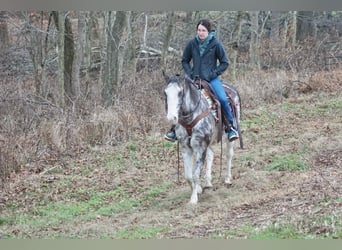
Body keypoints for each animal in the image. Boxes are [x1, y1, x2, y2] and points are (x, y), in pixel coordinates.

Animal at [164, 73, 240, 204]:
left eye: (180, 92)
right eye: (166, 93)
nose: (171, 118)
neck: (190, 119)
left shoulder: (200, 147)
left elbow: (195, 174)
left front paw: (193, 199)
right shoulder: (186, 148)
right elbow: (188, 175)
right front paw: (198, 189)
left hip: (229, 136)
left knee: (228, 155)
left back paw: (227, 179)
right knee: (210, 155)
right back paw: (208, 182)